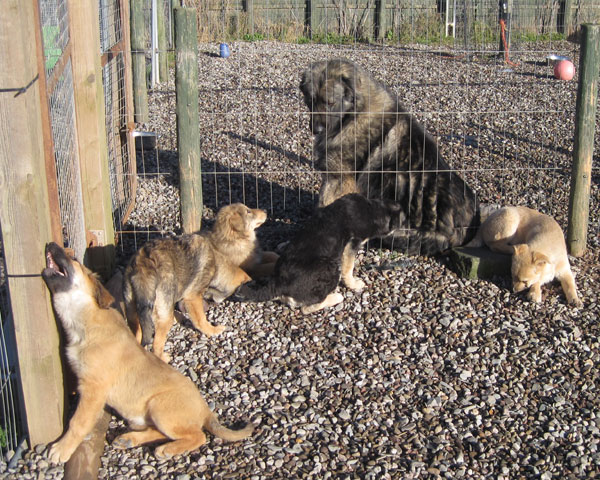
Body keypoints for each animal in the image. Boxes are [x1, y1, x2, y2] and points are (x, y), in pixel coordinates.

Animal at [41, 244, 253, 464]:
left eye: (73, 260)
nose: (51, 245)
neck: (88, 320)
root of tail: (206, 411)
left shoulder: (93, 390)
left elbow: (78, 422)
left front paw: (62, 449)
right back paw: (131, 440)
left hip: (159, 406)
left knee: (198, 436)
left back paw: (165, 449)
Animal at [125, 202, 278, 360]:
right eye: (248, 212)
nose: (265, 210)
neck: (232, 238)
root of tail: (142, 263)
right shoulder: (193, 297)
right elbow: (200, 319)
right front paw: (213, 330)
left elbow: (270, 255)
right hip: (163, 312)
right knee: (156, 343)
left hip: (133, 309)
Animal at [237, 195, 400, 316]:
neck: (371, 208)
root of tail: (278, 284)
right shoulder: (352, 244)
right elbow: (349, 267)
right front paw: (354, 284)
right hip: (330, 267)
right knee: (307, 307)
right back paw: (336, 297)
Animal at [302, 58, 480, 256]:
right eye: (310, 101)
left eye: (330, 103)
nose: (316, 130)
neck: (353, 115)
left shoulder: (339, 179)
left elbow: (323, 207)